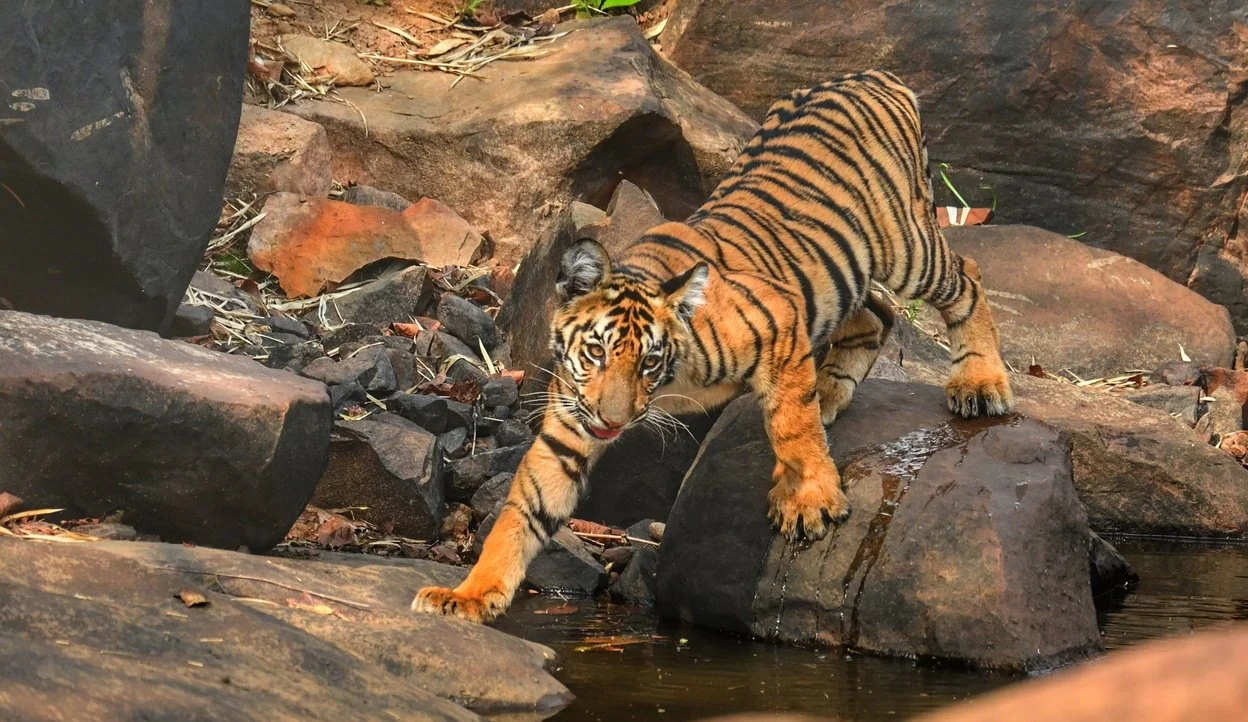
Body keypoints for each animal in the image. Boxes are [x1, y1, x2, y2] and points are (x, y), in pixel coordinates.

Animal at [412, 70, 1014, 624]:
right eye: (596, 354)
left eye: (650, 361)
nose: (613, 422)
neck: (670, 384)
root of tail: (870, 74)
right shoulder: (569, 423)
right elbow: (522, 511)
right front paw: (468, 595)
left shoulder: (780, 319)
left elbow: (791, 428)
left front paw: (810, 499)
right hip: (850, 273)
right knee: (876, 314)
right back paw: (827, 393)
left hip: (905, 246)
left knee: (968, 275)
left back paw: (979, 383)